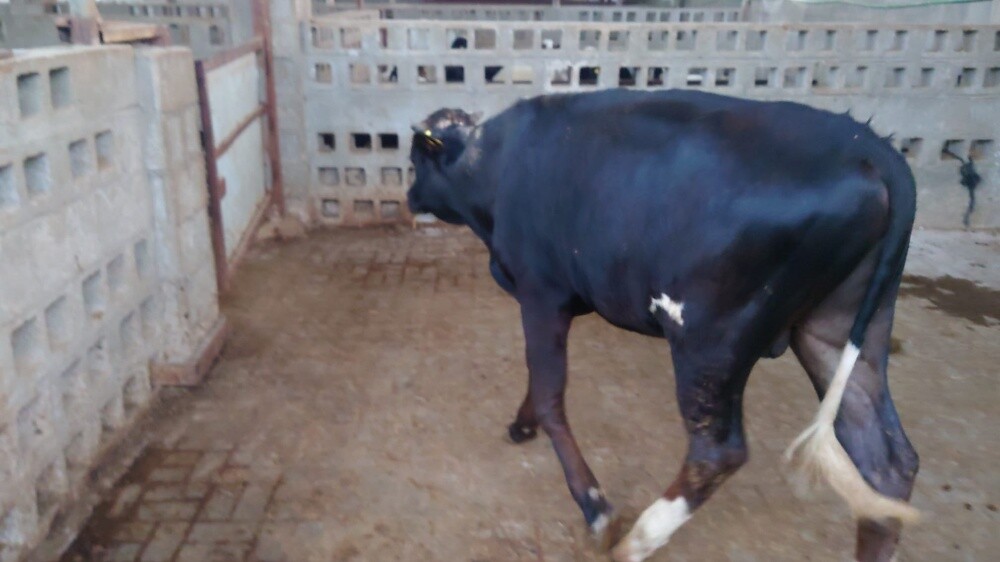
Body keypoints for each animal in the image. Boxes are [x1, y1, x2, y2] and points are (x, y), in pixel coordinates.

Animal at [406, 89, 920, 562]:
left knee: (717, 453)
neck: (492, 168)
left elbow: (552, 396)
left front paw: (596, 508)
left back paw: (638, 539)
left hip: (712, 340)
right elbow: (539, 383)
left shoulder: (541, 292)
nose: (409, 196)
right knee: (887, 460)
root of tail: (866, 145)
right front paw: (521, 423)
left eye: (414, 162)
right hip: (839, 329)